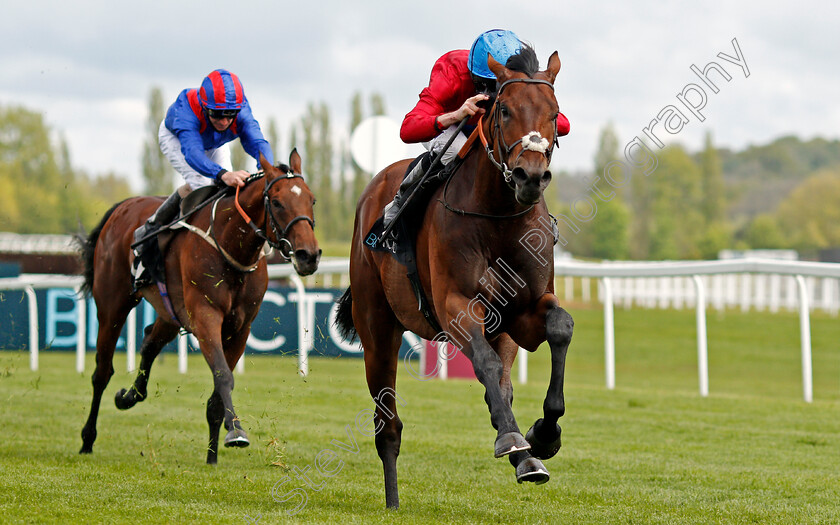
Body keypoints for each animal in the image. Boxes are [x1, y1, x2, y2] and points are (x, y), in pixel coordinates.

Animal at [77, 150, 320, 462]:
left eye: (311, 200)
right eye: (277, 202)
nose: (308, 255)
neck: (230, 244)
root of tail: (123, 206)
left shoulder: (240, 328)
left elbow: (218, 389)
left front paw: (212, 456)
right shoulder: (206, 317)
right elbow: (223, 376)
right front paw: (236, 432)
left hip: (171, 311)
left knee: (149, 341)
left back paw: (129, 396)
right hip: (113, 305)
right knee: (102, 372)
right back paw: (87, 439)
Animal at [338, 50, 576, 508]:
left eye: (555, 114)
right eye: (504, 110)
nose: (530, 176)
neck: (500, 216)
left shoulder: (524, 312)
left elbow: (559, 326)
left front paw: (543, 435)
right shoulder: (457, 307)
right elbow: (482, 362)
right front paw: (515, 439)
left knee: (501, 387)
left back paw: (526, 457)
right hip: (377, 328)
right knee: (387, 423)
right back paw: (393, 500)